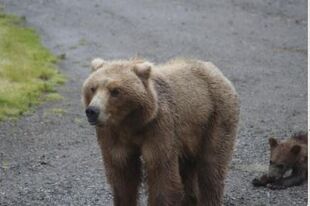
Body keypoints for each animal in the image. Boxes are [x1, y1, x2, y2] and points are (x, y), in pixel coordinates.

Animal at [81, 58, 239, 206]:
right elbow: (123, 177)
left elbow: (162, 176)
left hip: (216, 118)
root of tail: (215, 70)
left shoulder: (159, 128)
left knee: (211, 167)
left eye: (115, 91)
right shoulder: (114, 135)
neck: (132, 123)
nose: (92, 111)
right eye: (93, 88)